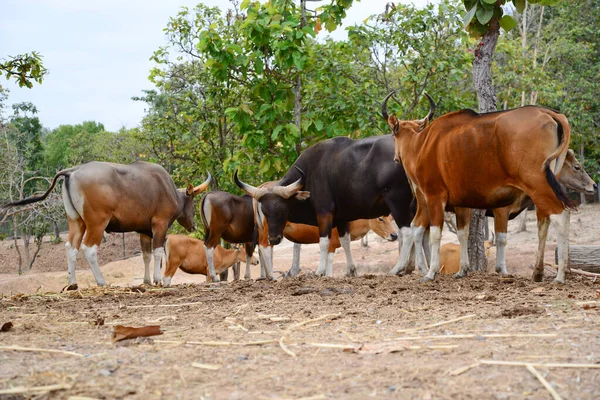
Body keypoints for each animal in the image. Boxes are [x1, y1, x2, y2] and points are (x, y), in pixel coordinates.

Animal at [1, 161, 211, 290]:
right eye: (193, 203)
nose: (193, 225)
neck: (168, 190)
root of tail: (72, 171)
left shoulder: (144, 231)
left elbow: (146, 255)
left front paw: (147, 281)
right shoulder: (159, 225)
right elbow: (158, 252)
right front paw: (158, 280)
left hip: (76, 221)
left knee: (71, 247)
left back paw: (72, 283)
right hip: (97, 223)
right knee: (89, 248)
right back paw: (101, 281)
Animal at [234, 133, 418, 280]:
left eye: (281, 210)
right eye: (264, 211)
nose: (274, 238)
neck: (309, 174)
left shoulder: (324, 212)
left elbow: (324, 242)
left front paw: (320, 271)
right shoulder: (342, 217)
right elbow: (345, 241)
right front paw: (351, 270)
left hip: (398, 201)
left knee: (407, 233)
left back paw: (398, 268)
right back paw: (409, 266)